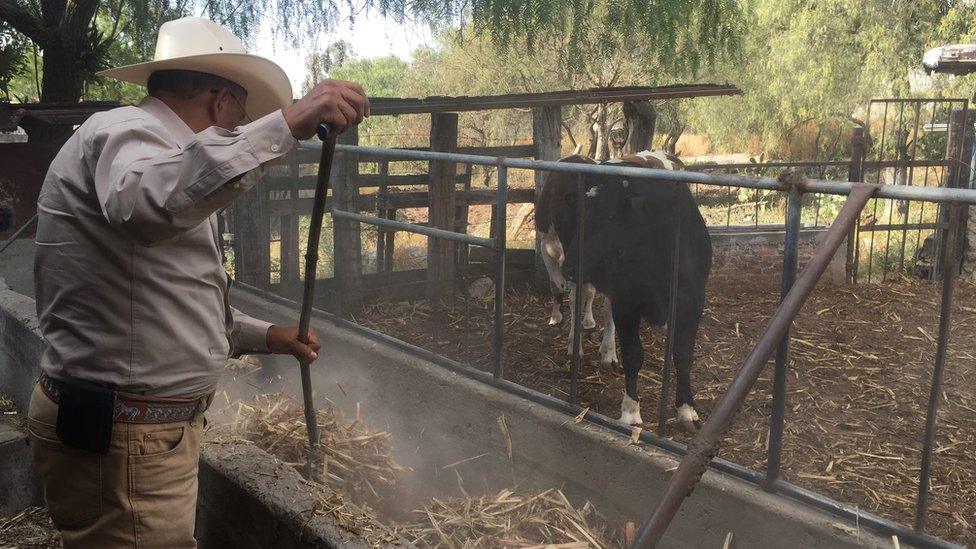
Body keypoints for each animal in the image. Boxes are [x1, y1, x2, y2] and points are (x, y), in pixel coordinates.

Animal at [560, 163, 712, 428]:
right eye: (580, 216)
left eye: (610, 217)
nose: (568, 267)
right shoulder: (627, 303)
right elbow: (633, 356)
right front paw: (630, 411)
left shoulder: (692, 302)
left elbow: (683, 355)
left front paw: (686, 409)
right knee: (577, 301)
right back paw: (574, 346)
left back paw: (608, 352)